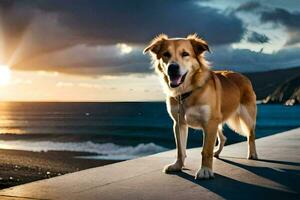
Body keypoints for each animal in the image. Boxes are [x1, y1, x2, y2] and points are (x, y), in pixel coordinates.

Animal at [144, 34, 258, 180]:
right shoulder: (179, 123)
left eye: (185, 54)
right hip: (217, 120)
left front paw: (205, 170)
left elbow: (206, 150)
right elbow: (180, 149)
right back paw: (217, 152)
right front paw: (177, 166)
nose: (172, 68)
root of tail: (243, 76)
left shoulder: (209, 123)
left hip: (246, 116)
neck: (186, 92)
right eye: (166, 54)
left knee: (251, 134)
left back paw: (252, 153)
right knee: (223, 138)